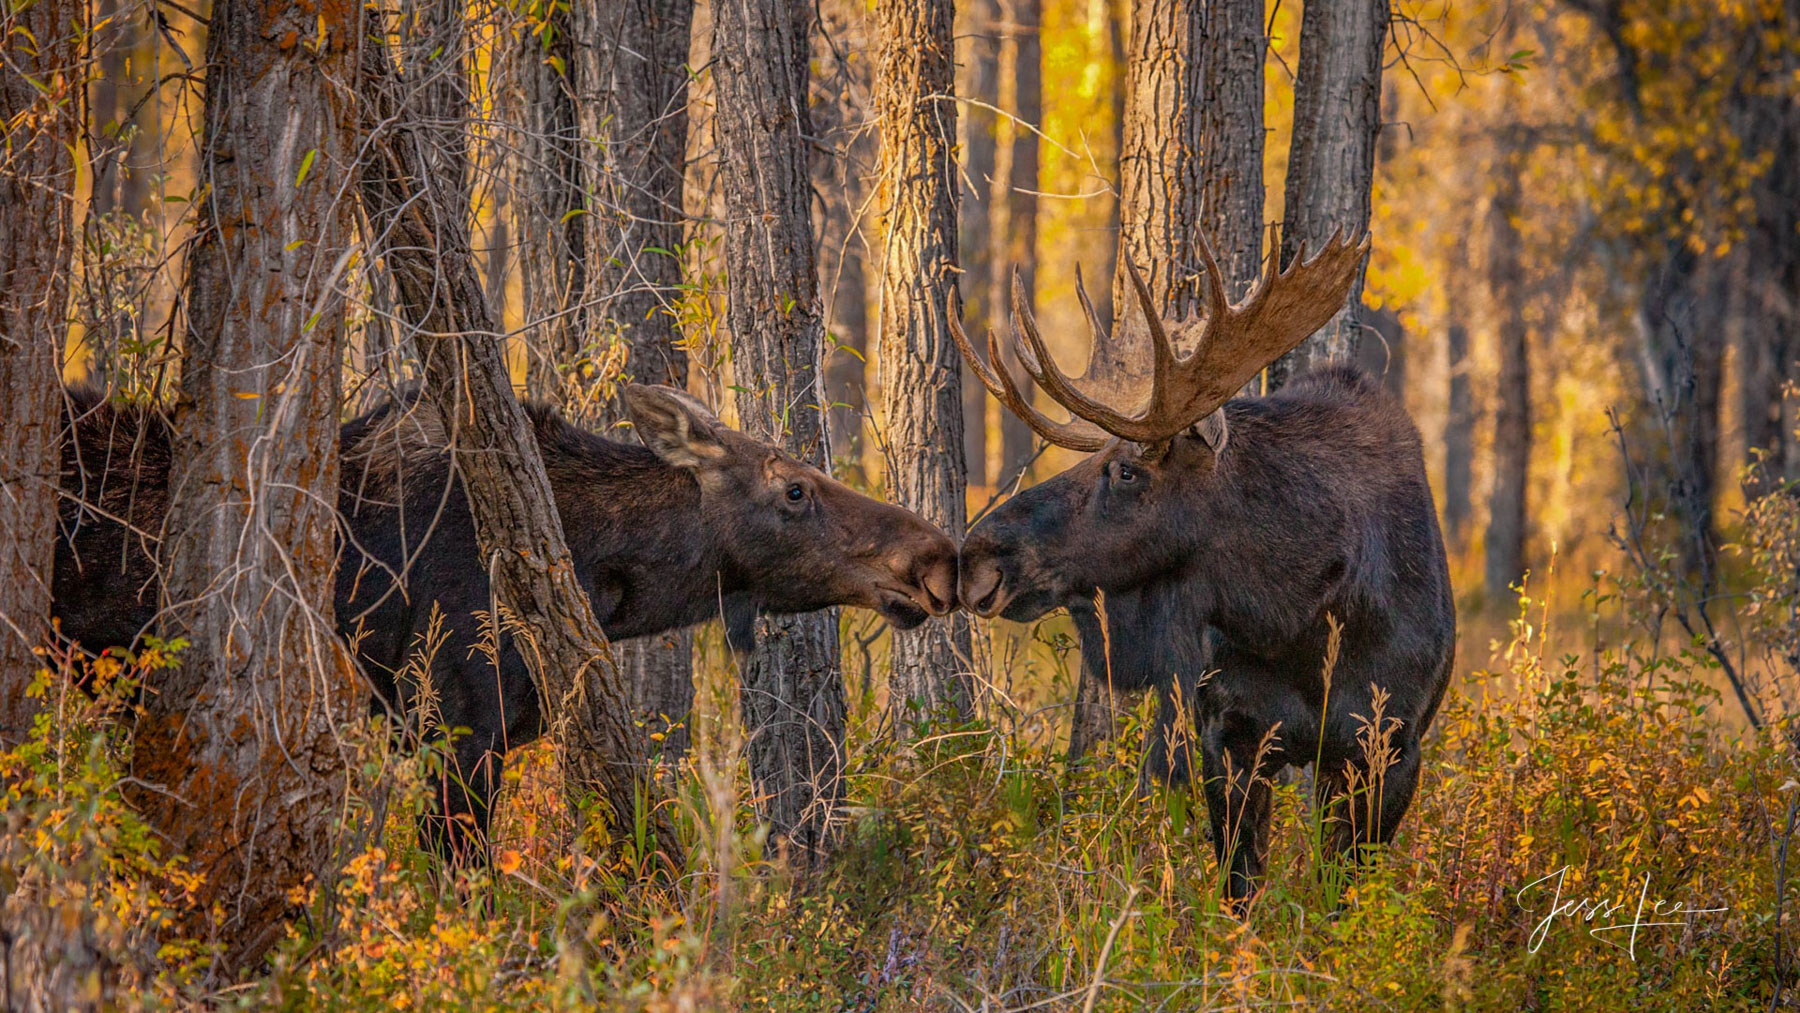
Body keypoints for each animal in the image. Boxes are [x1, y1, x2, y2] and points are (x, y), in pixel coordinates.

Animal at [950, 232, 1454, 903]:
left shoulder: (1391, 748)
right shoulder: (1229, 734)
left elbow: (1340, 890)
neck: (1298, 614)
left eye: (1125, 471)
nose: (978, 558)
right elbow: (1239, 884)